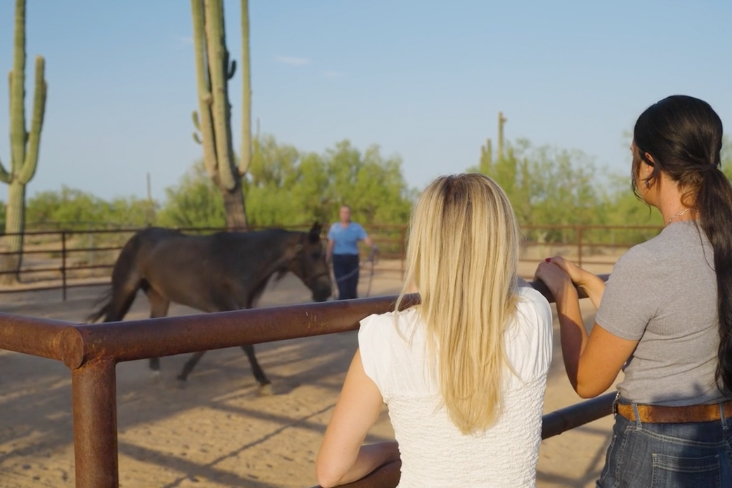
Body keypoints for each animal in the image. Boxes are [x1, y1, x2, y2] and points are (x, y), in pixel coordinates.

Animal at [87, 222, 332, 394]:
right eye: (315, 254)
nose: (326, 292)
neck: (236, 261)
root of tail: (135, 238)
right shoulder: (228, 309)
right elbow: (247, 346)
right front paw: (264, 382)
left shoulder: (219, 313)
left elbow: (203, 348)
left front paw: (182, 376)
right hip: (125, 290)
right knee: (110, 322)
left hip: (159, 298)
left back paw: (157, 375)